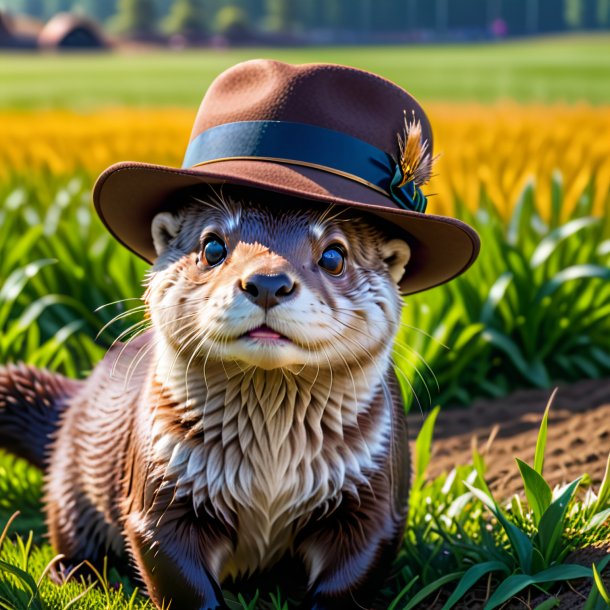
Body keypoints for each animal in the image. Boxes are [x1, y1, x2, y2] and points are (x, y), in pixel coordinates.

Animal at [0, 188, 410, 604]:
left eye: (333, 256)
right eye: (213, 247)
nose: (267, 282)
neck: (271, 472)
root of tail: (77, 397)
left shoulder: (371, 490)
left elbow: (353, 569)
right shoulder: (162, 483)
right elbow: (176, 569)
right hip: (72, 481)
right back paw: (85, 577)